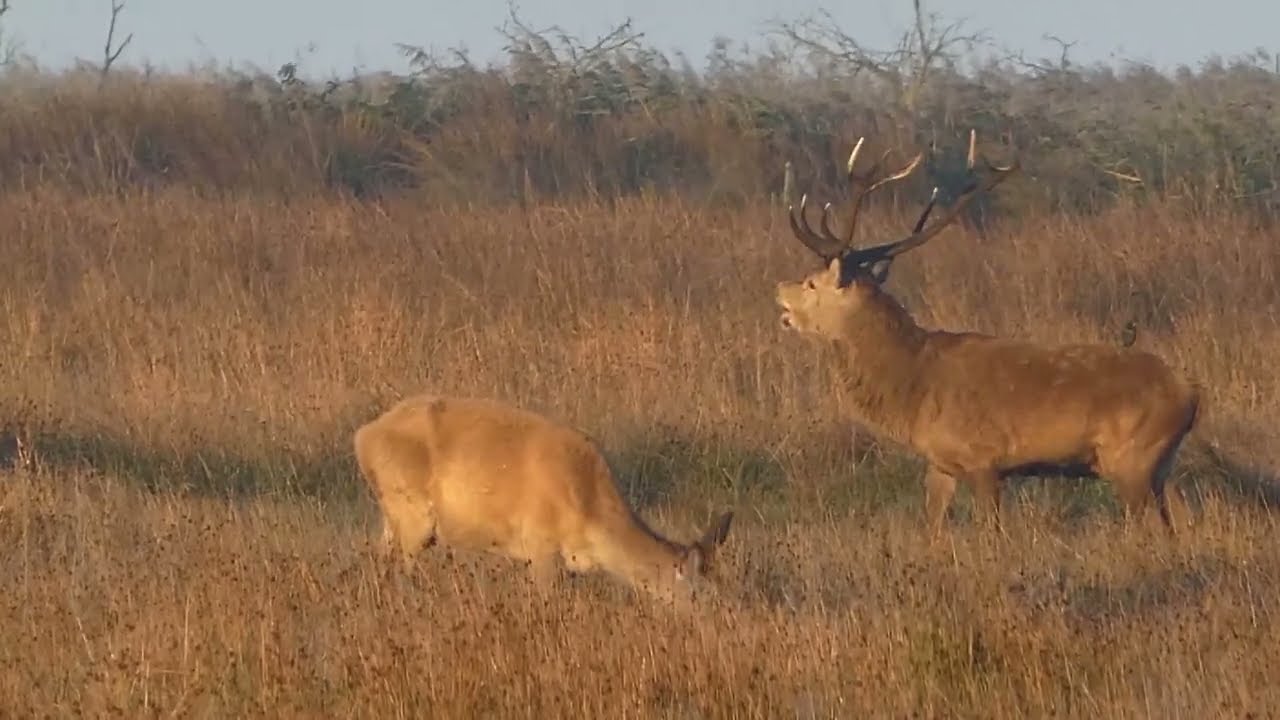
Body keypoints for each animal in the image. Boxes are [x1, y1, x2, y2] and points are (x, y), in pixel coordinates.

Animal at [775, 130, 1201, 539]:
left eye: (811, 283)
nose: (779, 288)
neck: (914, 387)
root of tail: (1191, 395)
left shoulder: (984, 459)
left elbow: (992, 531)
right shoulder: (941, 462)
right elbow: (932, 527)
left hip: (1132, 458)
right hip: (1159, 466)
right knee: (1179, 522)